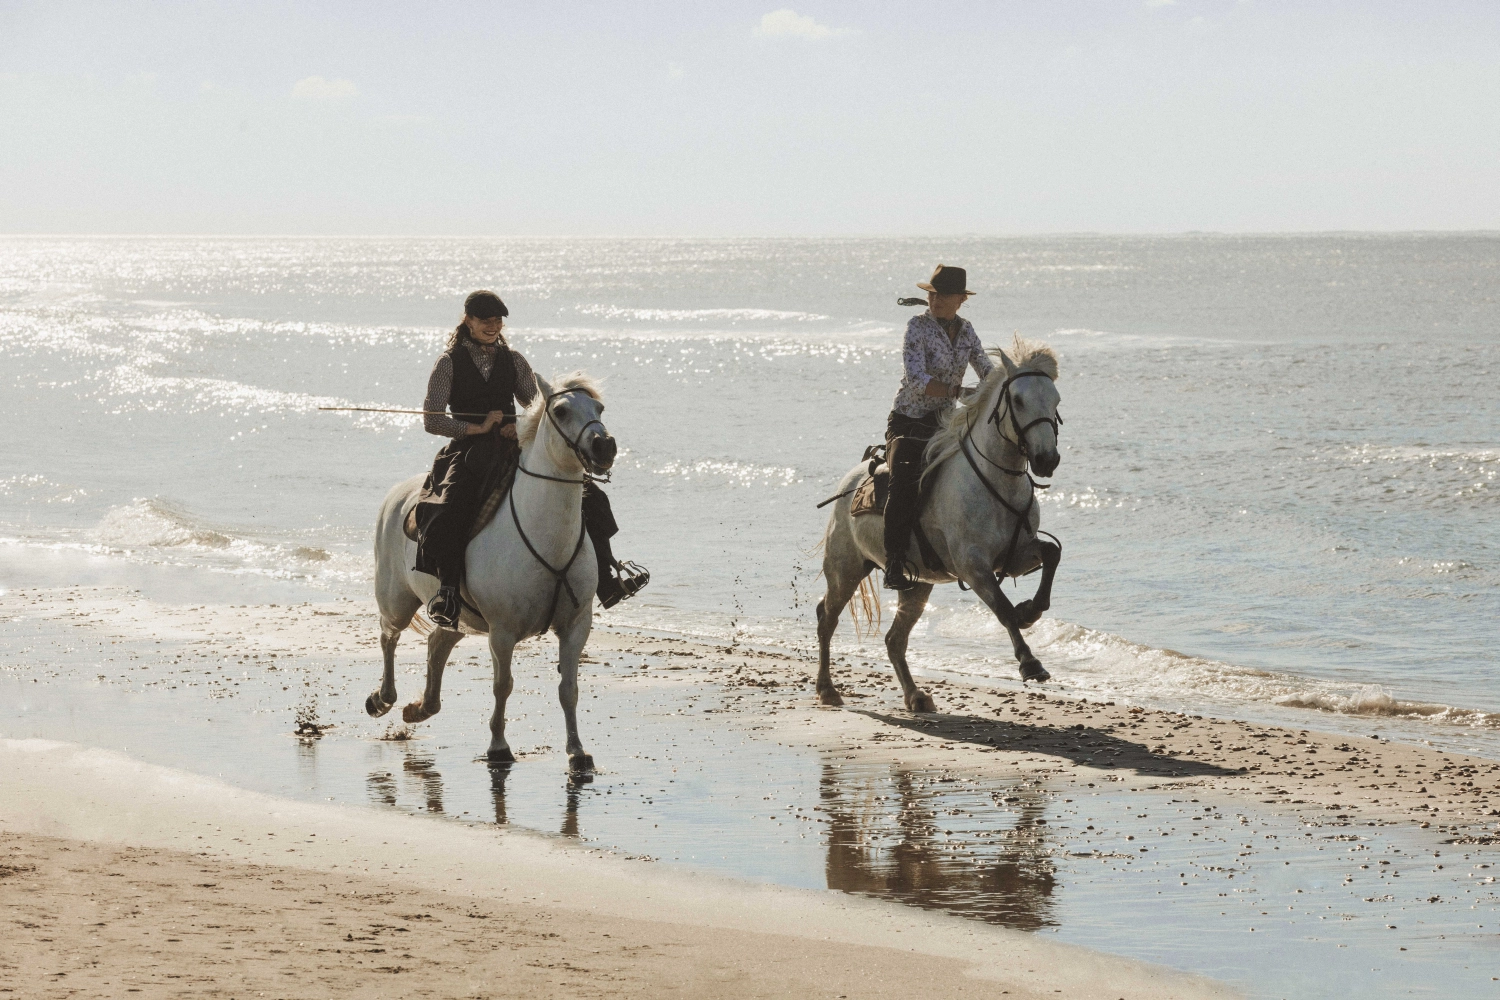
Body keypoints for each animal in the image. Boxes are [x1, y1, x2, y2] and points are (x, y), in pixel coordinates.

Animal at [366, 371, 612, 773]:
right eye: (561, 410)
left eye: (599, 408)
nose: (605, 446)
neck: (547, 536)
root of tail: (397, 494)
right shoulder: (503, 631)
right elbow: (503, 685)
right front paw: (498, 747)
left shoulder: (577, 625)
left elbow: (569, 689)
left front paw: (577, 752)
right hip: (396, 598)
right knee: (389, 635)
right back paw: (383, 699)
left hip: (457, 613)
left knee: (438, 641)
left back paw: (420, 708)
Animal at [816, 341, 1062, 710]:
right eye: (1018, 400)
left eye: (1056, 400)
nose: (1047, 460)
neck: (994, 481)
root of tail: (849, 483)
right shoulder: (973, 566)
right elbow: (1002, 608)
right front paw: (1030, 663)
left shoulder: (1015, 555)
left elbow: (1051, 554)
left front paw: (1030, 611)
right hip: (845, 568)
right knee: (827, 618)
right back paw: (827, 689)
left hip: (917, 584)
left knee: (894, 639)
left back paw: (915, 696)